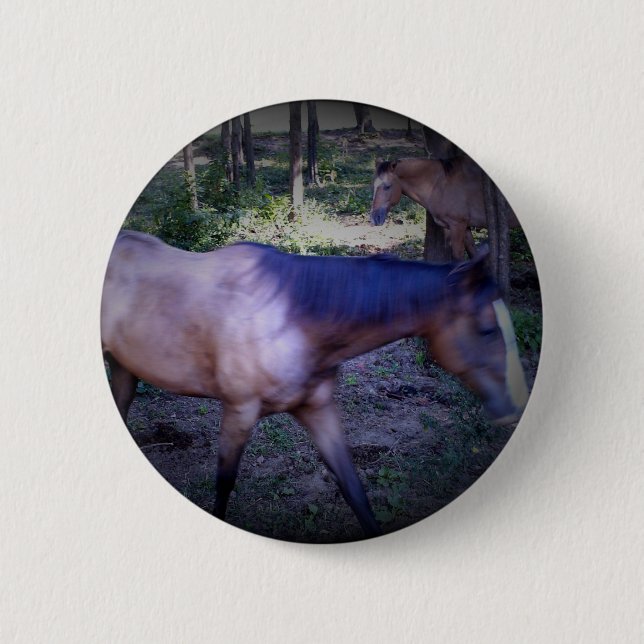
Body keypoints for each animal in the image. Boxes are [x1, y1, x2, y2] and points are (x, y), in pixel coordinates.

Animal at [101, 230, 529, 538]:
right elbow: (223, 485)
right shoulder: (239, 411)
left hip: (123, 370)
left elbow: (355, 490)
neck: (292, 318)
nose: (514, 408)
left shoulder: (318, 410)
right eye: (487, 329)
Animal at [370, 156, 520, 260]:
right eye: (374, 185)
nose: (374, 218)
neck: (439, 184)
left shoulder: (457, 225)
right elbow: (473, 255)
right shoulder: (463, 227)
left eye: (387, 186)